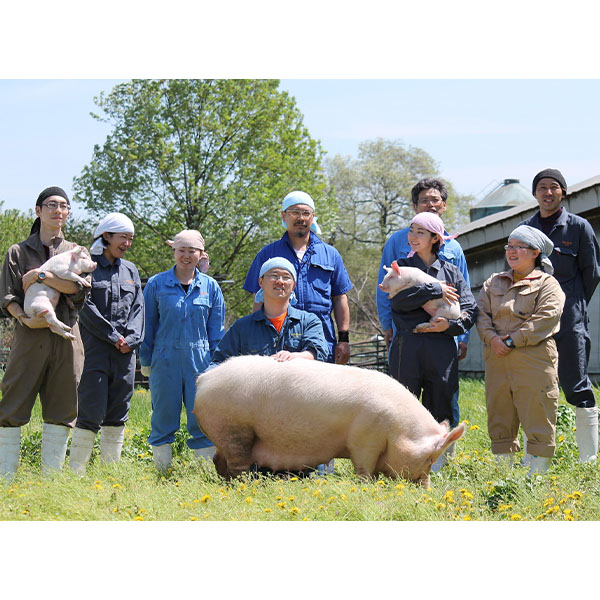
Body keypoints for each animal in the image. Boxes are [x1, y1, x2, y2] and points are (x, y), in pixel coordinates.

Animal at [192, 356, 464, 488]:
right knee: (237, 465)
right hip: (234, 430)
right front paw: (366, 487)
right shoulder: (364, 439)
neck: (397, 429)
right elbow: (363, 469)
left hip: (225, 432)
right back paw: (244, 486)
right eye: (430, 459)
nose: (427, 489)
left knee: (218, 460)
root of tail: (204, 379)